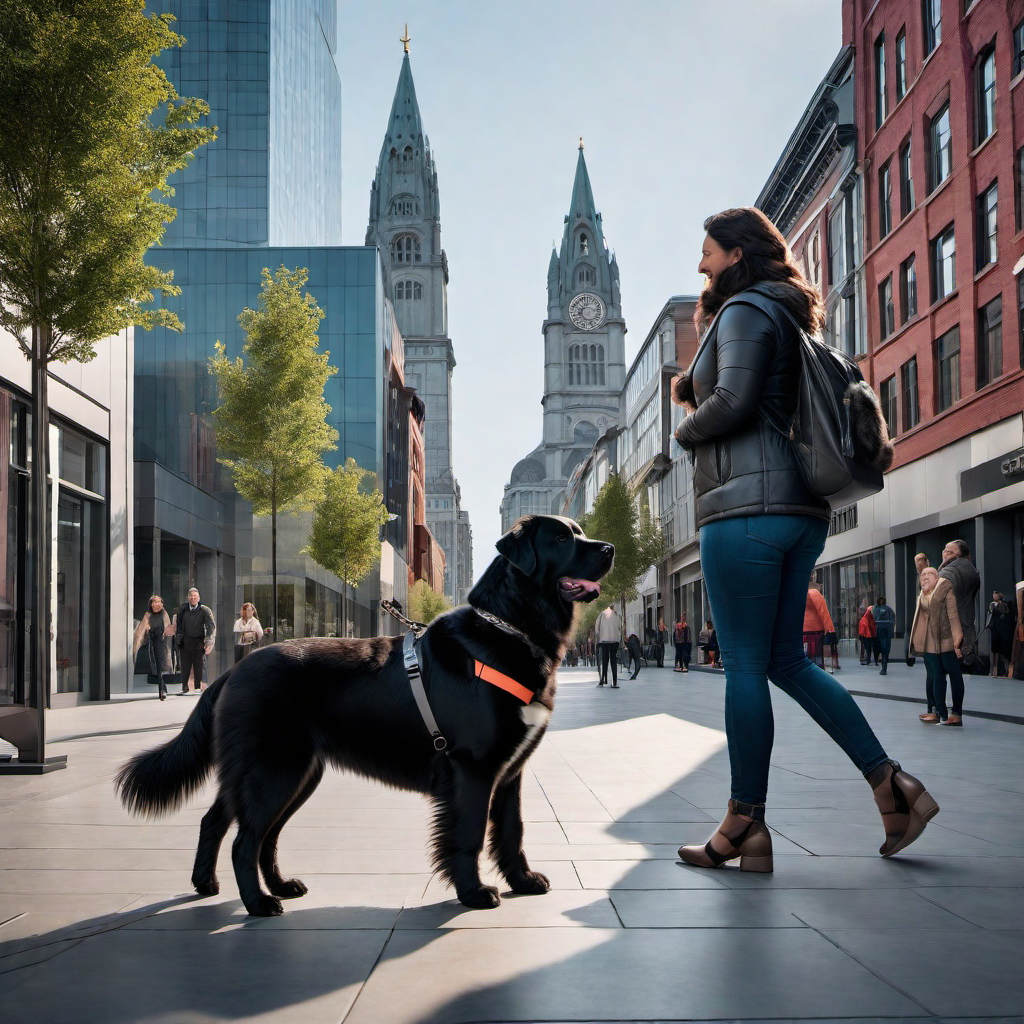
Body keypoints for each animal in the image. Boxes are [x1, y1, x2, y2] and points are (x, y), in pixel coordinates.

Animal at [119, 516, 614, 917]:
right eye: (561, 538)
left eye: (580, 532)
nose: (609, 548)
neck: (507, 628)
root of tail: (232, 670)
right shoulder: (473, 768)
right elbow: (470, 833)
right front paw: (473, 893)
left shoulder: (510, 772)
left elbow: (512, 831)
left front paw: (523, 882)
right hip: (273, 769)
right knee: (246, 838)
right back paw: (259, 903)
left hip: (290, 773)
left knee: (236, 827)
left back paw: (229, 884)